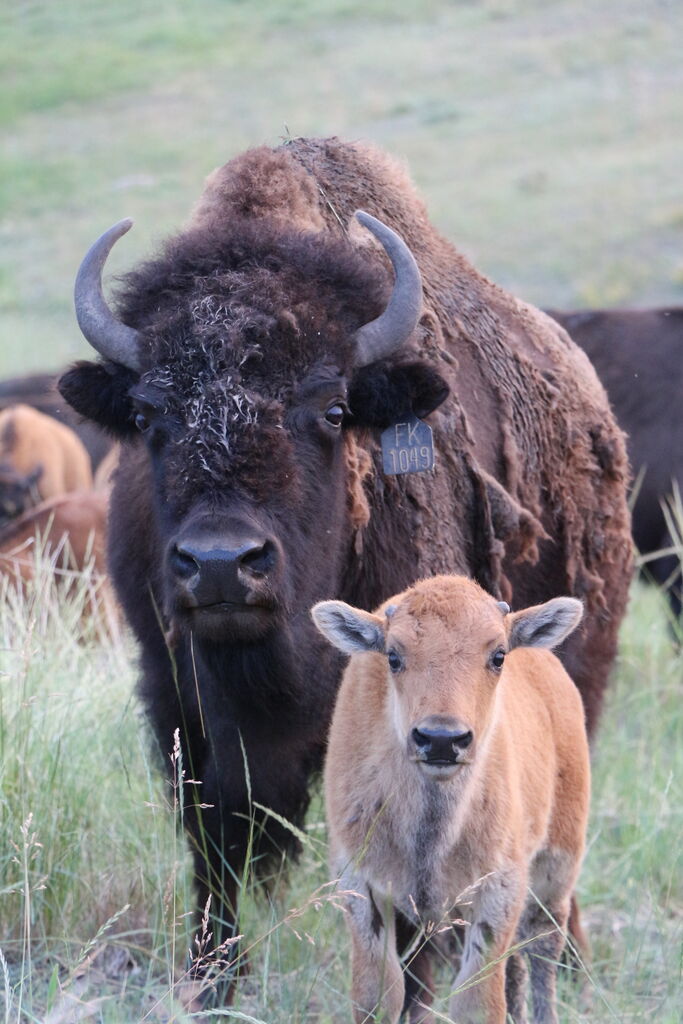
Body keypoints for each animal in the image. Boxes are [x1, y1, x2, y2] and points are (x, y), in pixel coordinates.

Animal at [313, 577, 589, 1024]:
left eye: (498, 656)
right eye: (393, 656)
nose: (442, 739)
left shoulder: (499, 890)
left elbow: (477, 1002)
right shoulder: (361, 886)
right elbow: (378, 995)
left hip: (558, 862)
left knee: (542, 948)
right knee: (519, 965)